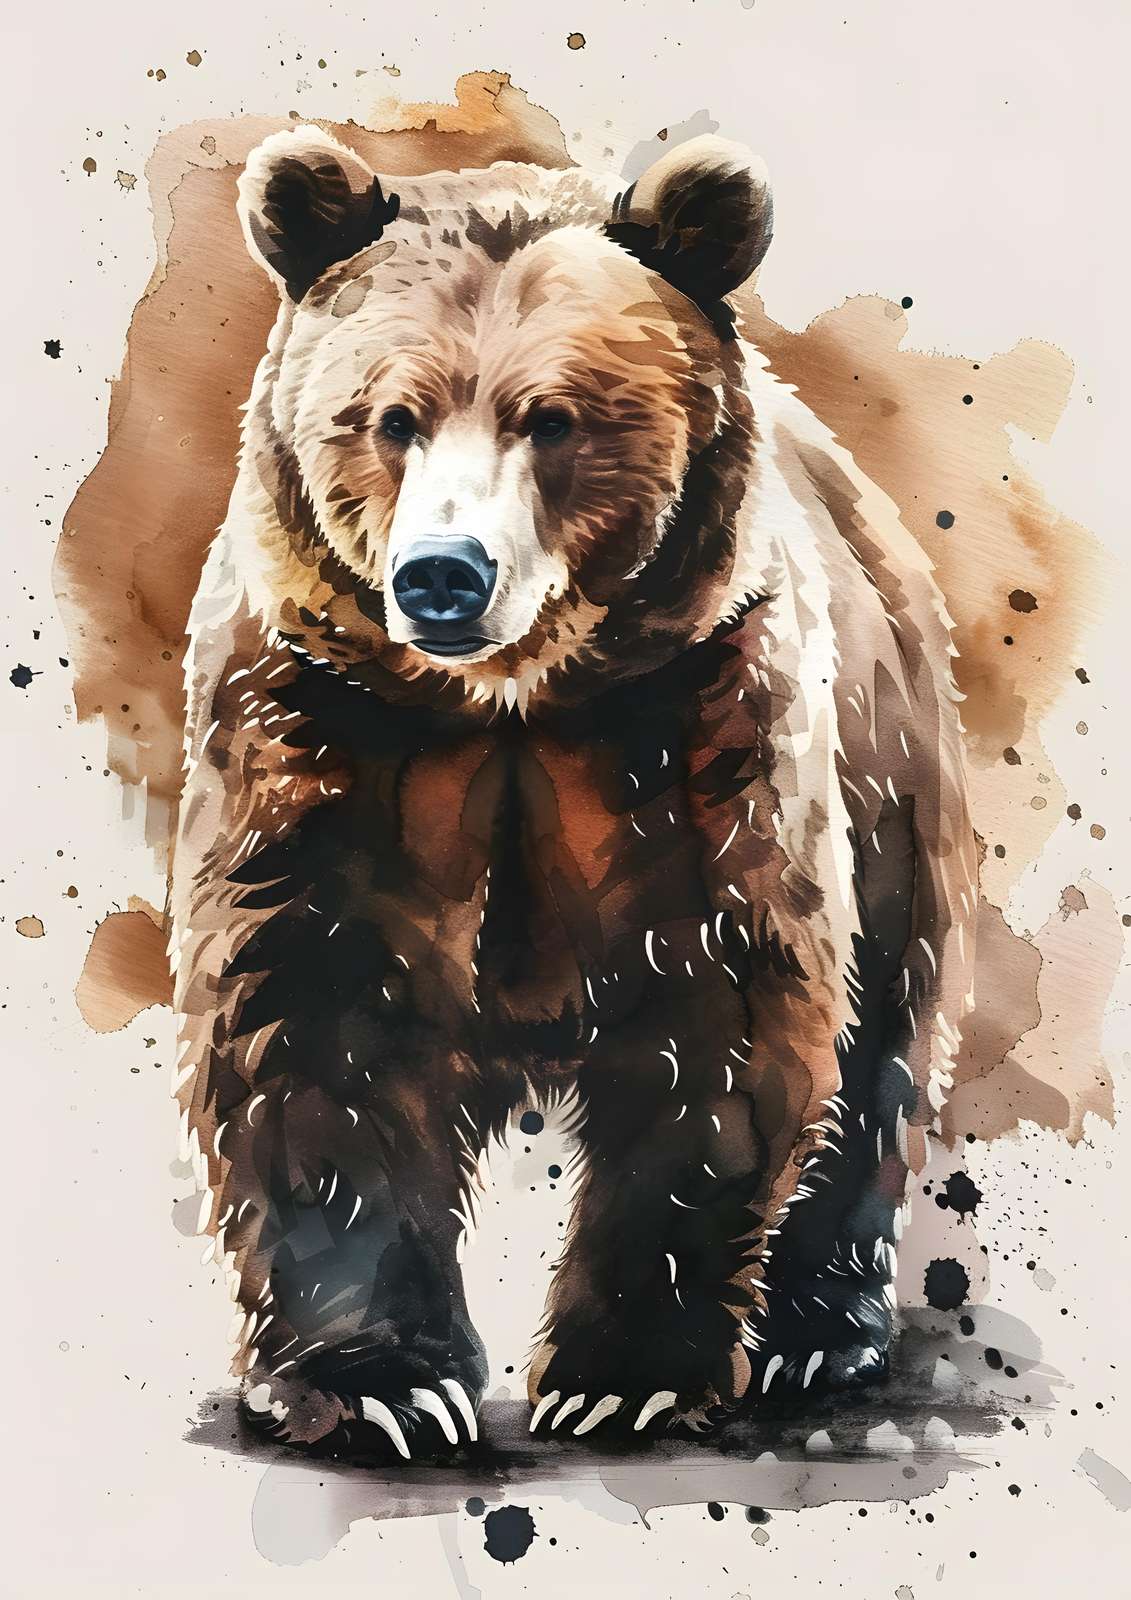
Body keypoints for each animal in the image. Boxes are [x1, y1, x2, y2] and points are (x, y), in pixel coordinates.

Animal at [171, 124, 977, 1455]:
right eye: (391, 415)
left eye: (551, 418)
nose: (444, 574)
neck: (511, 706)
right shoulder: (322, 723)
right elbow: (307, 1012)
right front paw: (382, 1384)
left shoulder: (696, 728)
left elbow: (722, 1019)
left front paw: (619, 1372)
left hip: (893, 767)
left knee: (883, 1050)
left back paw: (820, 1333)